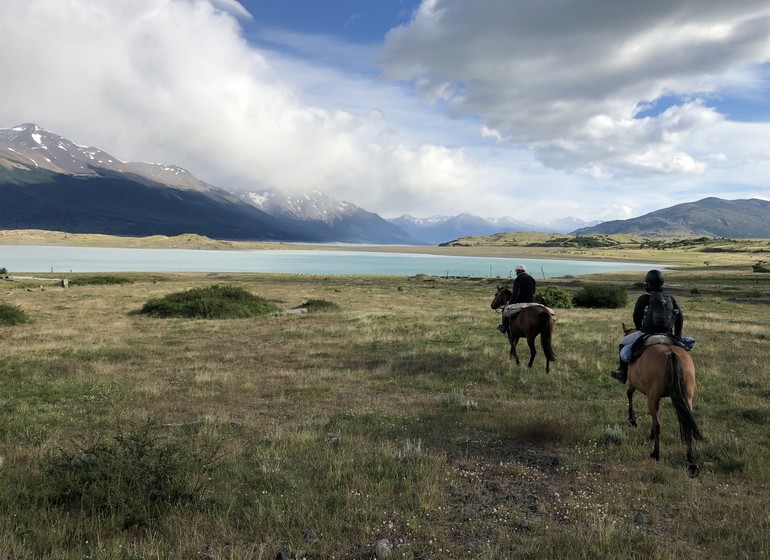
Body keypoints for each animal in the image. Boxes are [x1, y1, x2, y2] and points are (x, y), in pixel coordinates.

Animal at [624, 324, 704, 476]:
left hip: (652, 397)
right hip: (687, 398)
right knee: (687, 425)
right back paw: (691, 462)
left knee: (658, 425)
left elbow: (629, 394)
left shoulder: (634, 384)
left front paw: (633, 419)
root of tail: (670, 353)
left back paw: (656, 453)